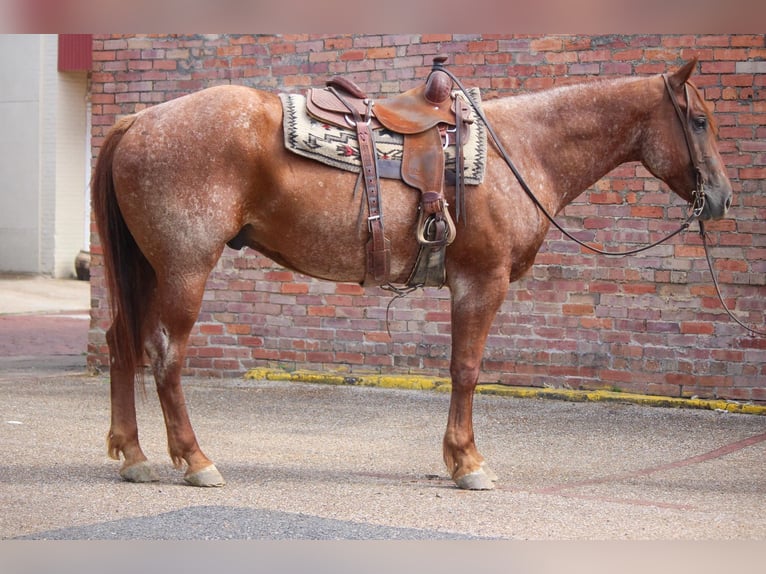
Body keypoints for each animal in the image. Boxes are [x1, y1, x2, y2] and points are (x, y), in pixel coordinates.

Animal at [93, 57, 736, 490]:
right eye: (700, 121)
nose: (723, 198)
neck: (522, 150)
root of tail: (140, 120)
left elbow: (460, 369)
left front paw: (459, 458)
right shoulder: (481, 282)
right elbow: (466, 370)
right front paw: (468, 463)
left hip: (145, 269)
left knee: (122, 343)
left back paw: (134, 456)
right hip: (184, 269)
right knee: (166, 354)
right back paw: (196, 460)